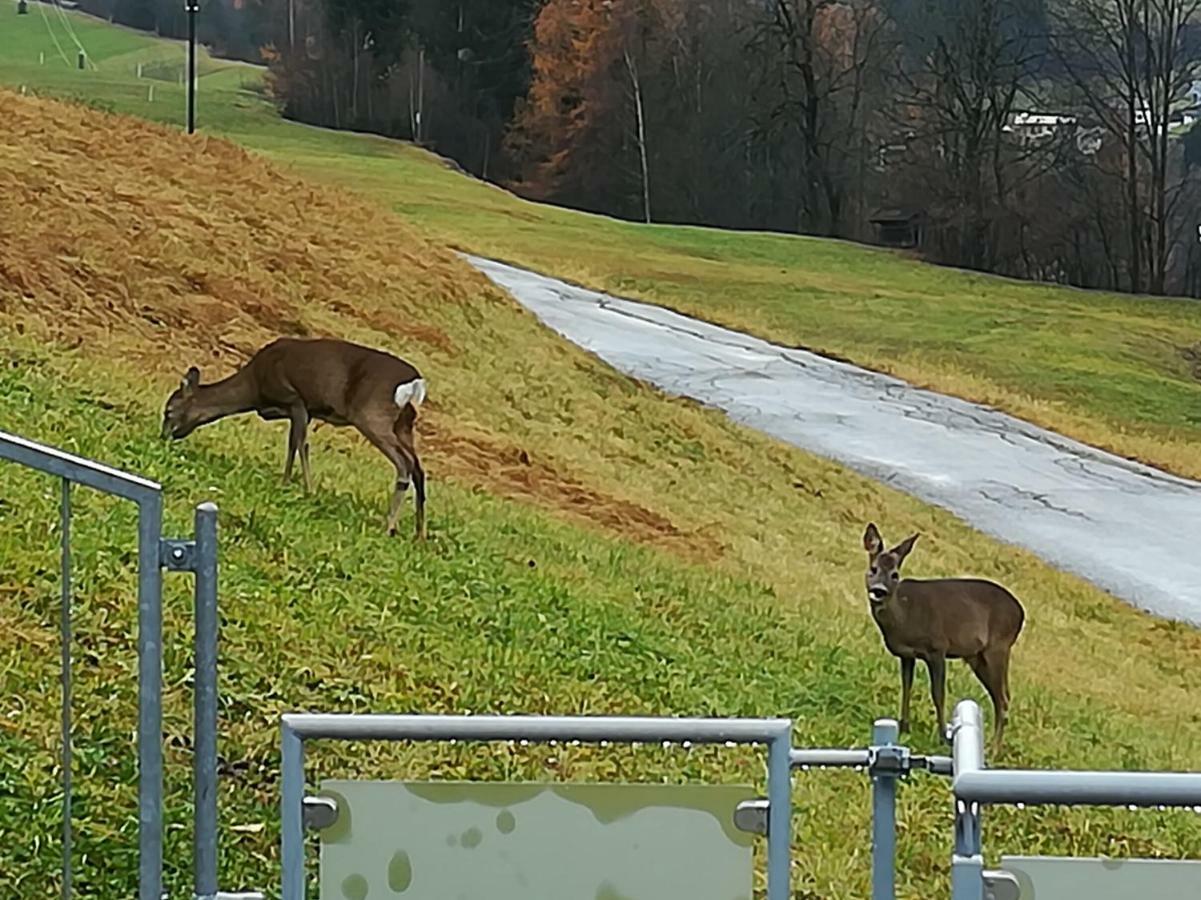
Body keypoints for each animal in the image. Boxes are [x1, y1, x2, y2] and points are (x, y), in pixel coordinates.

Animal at [162, 336, 429, 533]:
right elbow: (292, 444)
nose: (164, 436)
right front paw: (286, 482)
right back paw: (419, 533)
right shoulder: (298, 410)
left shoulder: (295, 399)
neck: (255, 386)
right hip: (403, 423)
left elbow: (301, 444)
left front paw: (308, 490)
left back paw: (390, 526)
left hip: (371, 413)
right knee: (418, 467)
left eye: (169, 410)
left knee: (404, 464)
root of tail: (415, 381)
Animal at [859, 523, 1028, 749]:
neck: (904, 617)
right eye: (873, 569)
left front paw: (942, 736)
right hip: (977, 656)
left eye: (895, 574)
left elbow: (938, 693)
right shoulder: (907, 655)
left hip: (998, 647)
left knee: (1002, 699)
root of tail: (1021, 613)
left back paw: (993, 750)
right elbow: (906, 687)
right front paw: (904, 727)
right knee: (1001, 696)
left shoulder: (937, 648)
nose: (879, 590)